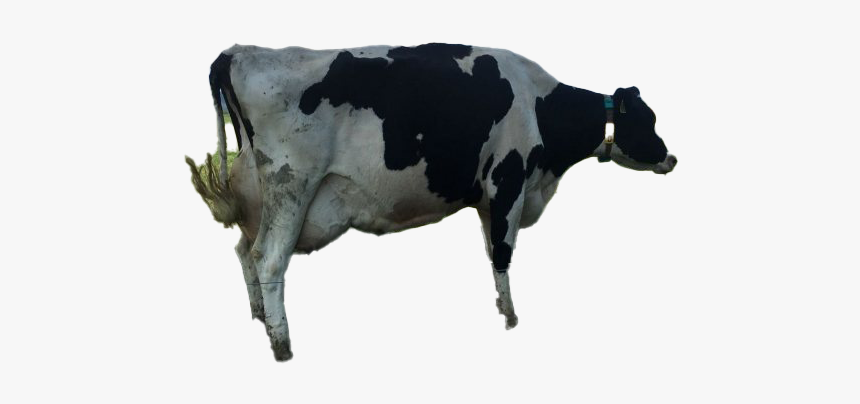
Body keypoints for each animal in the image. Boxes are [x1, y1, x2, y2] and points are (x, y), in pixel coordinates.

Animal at [186, 43, 677, 361]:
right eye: (648, 120)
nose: (671, 157)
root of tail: (240, 51)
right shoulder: (508, 181)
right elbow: (503, 252)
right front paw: (510, 317)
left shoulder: (489, 197)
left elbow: (490, 250)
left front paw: (500, 306)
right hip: (292, 183)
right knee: (269, 258)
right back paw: (282, 344)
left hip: (258, 192)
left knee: (244, 249)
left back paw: (258, 316)